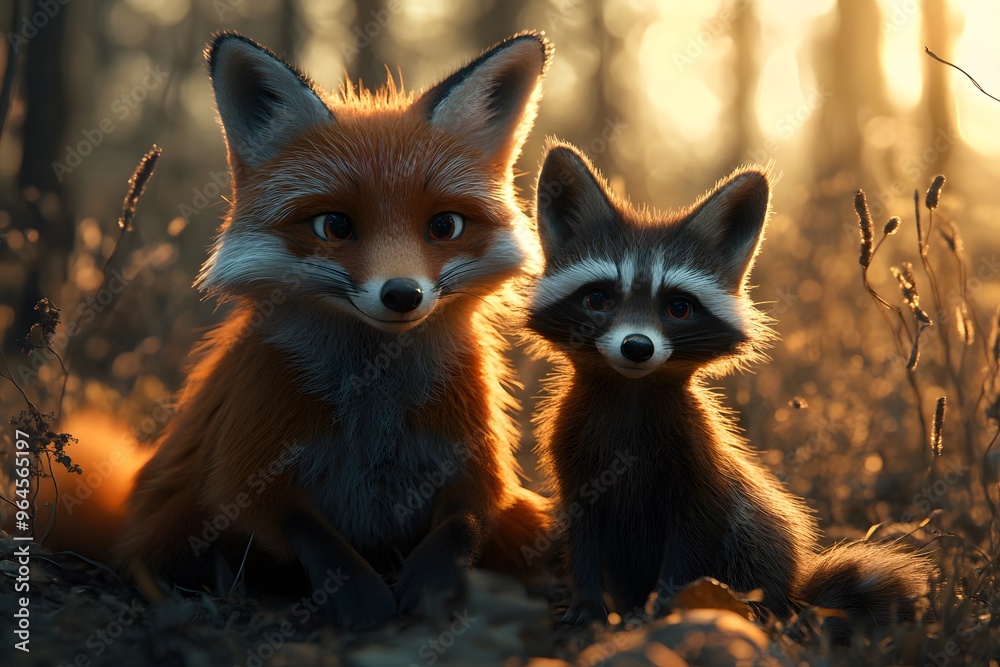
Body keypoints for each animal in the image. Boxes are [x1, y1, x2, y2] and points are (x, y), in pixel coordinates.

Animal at [114, 31, 554, 629]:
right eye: (335, 226)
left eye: (445, 225)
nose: (403, 295)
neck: (376, 403)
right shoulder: (250, 461)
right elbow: (303, 528)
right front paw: (361, 598)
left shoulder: (478, 462)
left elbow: (466, 522)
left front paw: (429, 586)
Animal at [525, 141, 932, 640]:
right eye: (598, 299)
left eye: (678, 308)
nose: (637, 347)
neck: (630, 394)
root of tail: (794, 594)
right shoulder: (574, 466)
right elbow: (582, 542)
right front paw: (587, 604)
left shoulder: (702, 475)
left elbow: (690, 553)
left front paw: (665, 608)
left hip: (754, 538)